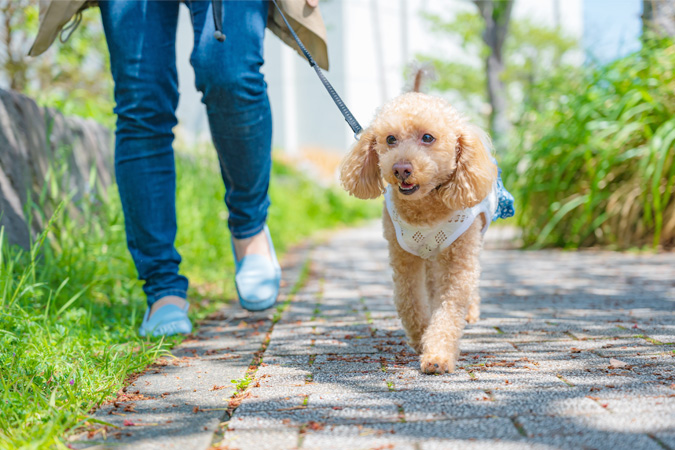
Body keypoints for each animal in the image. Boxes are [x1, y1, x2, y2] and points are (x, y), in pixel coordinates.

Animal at [340, 90, 500, 372]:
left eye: (428, 137)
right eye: (390, 139)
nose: (401, 169)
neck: (424, 208)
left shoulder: (459, 256)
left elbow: (450, 305)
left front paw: (438, 355)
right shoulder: (403, 256)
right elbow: (409, 300)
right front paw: (421, 338)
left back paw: (471, 312)